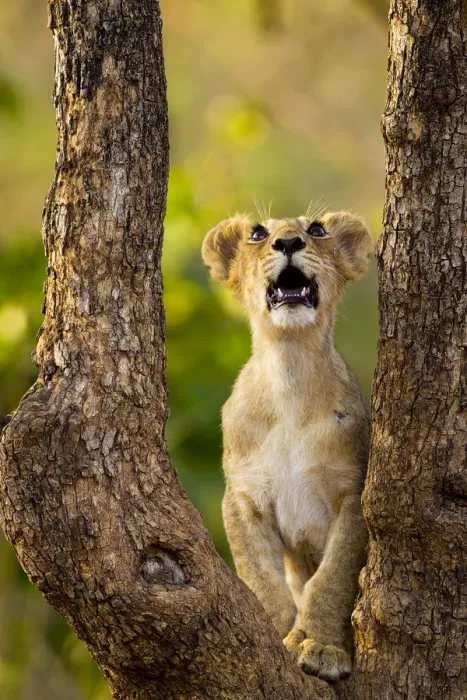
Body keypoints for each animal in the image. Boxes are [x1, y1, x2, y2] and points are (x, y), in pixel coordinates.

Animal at [202, 211, 373, 681]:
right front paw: (274, 635)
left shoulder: (352, 494)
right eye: (259, 233)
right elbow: (261, 579)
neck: (289, 371)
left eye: (316, 230)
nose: (289, 242)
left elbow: (332, 580)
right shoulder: (243, 496)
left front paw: (321, 647)